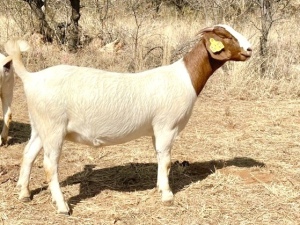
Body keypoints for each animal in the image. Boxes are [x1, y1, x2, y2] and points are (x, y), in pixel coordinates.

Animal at [4, 24, 252, 214]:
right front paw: (167, 195)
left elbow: (160, 158)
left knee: (28, 154)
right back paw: (62, 206)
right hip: (54, 126)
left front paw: (159, 187)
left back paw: (24, 192)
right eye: (225, 36)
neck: (184, 78)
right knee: (50, 165)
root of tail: (32, 77)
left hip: (40, 125)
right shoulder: (167, 126)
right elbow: (166, 160)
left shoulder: (156, 128)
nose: (249, 49)